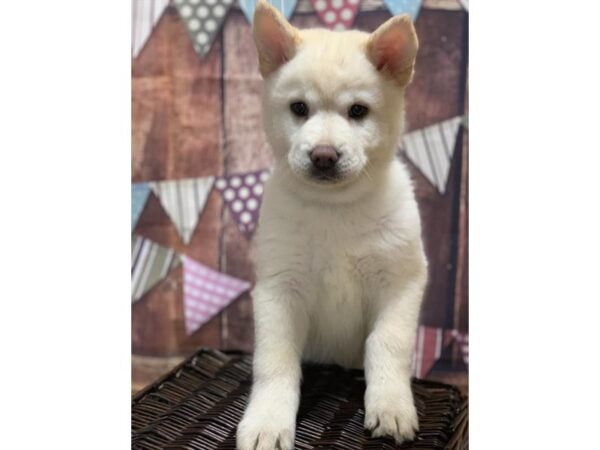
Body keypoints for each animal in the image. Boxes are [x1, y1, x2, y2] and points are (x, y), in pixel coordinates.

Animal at [237, 1, 424, 448]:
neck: (334, 209)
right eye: (299, 108)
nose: (323, 155)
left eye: (357, 111)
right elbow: (274, 362)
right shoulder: (279, 288)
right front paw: (267, 421)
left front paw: (391, 407)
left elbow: (388, 346)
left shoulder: (401, 281)